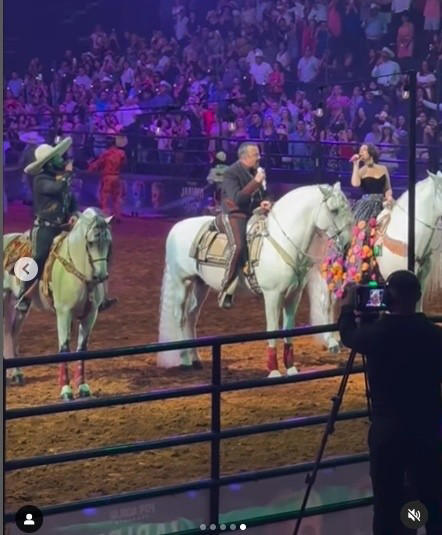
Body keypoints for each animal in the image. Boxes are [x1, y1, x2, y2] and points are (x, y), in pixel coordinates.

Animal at [3, 207, 113, 400]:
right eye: (91, 242)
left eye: (109, 242)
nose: (101, 276)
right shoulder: (64, 313)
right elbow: (64, 348)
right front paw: (66, 390)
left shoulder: (90, 315)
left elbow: (81, 348)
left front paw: (83, 388)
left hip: (19, 306)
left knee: (12, 333)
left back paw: (16, 374)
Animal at [157, 183, 354, 376]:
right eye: (334, 210)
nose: (347, 244)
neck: (283, 243)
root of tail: (176, 228)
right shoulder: (272, 295)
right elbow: (272, 329)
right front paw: (274, 370)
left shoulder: (294, 295)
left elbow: (288, 329)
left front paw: (290, 368)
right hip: (183, 281)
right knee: (180, 316)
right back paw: (184, 360)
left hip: (200, 284)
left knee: (191, 316)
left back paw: (195, 359)